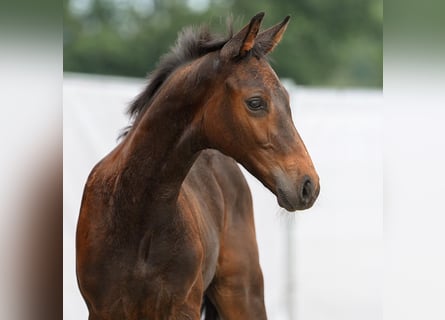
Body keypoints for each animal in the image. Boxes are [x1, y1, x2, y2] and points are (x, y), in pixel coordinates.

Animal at [76, 13, 320, 320]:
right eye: (255, 102)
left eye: (287, 99)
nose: (308, 185)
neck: (137, 212)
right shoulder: (104, 309)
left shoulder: (183, 307)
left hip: (243, 293)